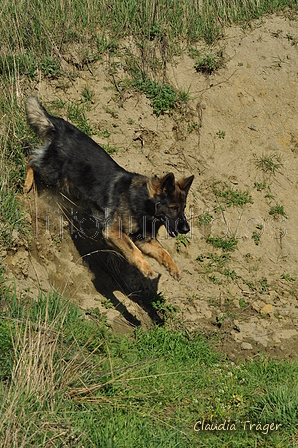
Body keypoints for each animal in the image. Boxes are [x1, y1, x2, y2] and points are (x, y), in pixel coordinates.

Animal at [25, 97, 193, 280]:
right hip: (53, 174)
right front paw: (146, 268)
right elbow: (134, 250)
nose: (187, 229)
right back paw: (27, 184)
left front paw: (173, 268)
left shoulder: (144, 240)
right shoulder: (114, 231)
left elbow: (163, 252)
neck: (142, 203)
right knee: (31, 158)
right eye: (173, 208)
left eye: (183, 208)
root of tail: (60, 126)